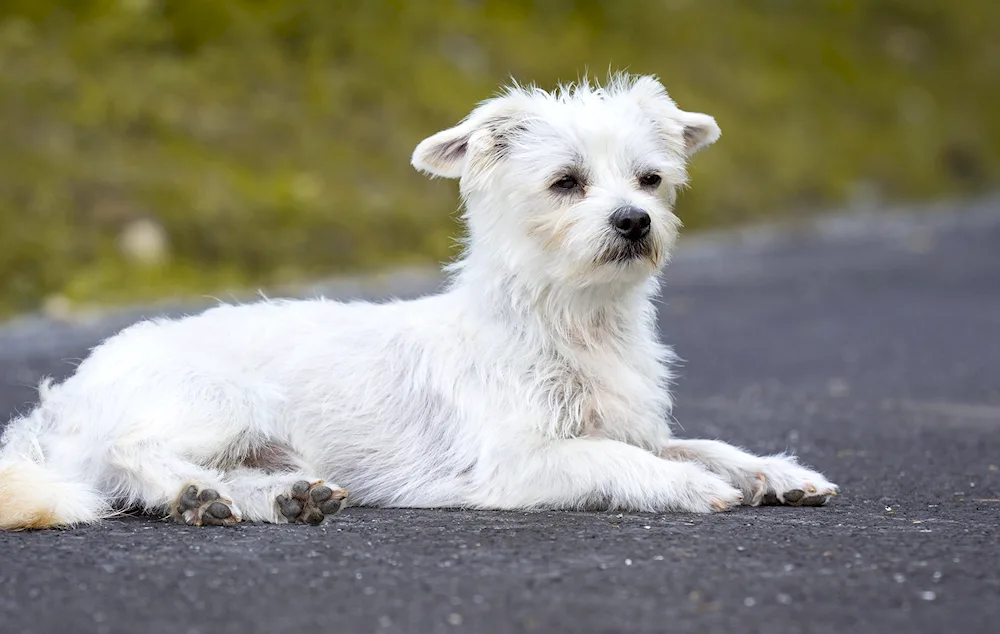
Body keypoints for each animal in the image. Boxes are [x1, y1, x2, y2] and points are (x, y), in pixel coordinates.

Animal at [0, 74, 840, 528]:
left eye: (651, 180)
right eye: (566, 182)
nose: (634, 222)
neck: (570, 320)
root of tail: (62, 401)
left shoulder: (630, 425)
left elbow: (699, 443)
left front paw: (771, 471)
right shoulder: (518, 463)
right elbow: (616, 458)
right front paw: (691, 487)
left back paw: (273, 499)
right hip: (219, 400)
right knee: (128, 454)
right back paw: (189, 492)